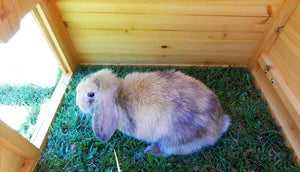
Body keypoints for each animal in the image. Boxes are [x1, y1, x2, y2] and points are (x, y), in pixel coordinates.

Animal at [76, 68, 231, 156]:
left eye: (90, 94)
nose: (77, 103)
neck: (118, 95)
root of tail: (218, 127)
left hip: (174, 140)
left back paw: (151, 151)